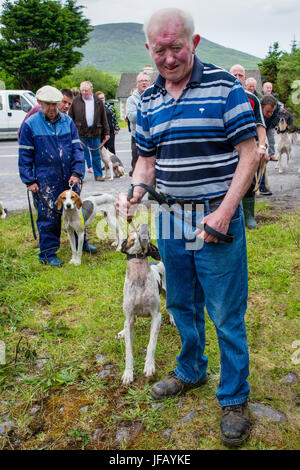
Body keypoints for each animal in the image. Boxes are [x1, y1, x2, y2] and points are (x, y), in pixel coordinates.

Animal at [116, 222, 175, 384]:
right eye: (132, 232)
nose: (143, 224)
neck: (139, 279)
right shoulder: (130, 317)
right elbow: (128, 351)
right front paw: (128, 373)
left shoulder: (156, 316)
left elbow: (151, 344)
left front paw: (149, 366)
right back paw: (122, 332)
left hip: (168, 292)